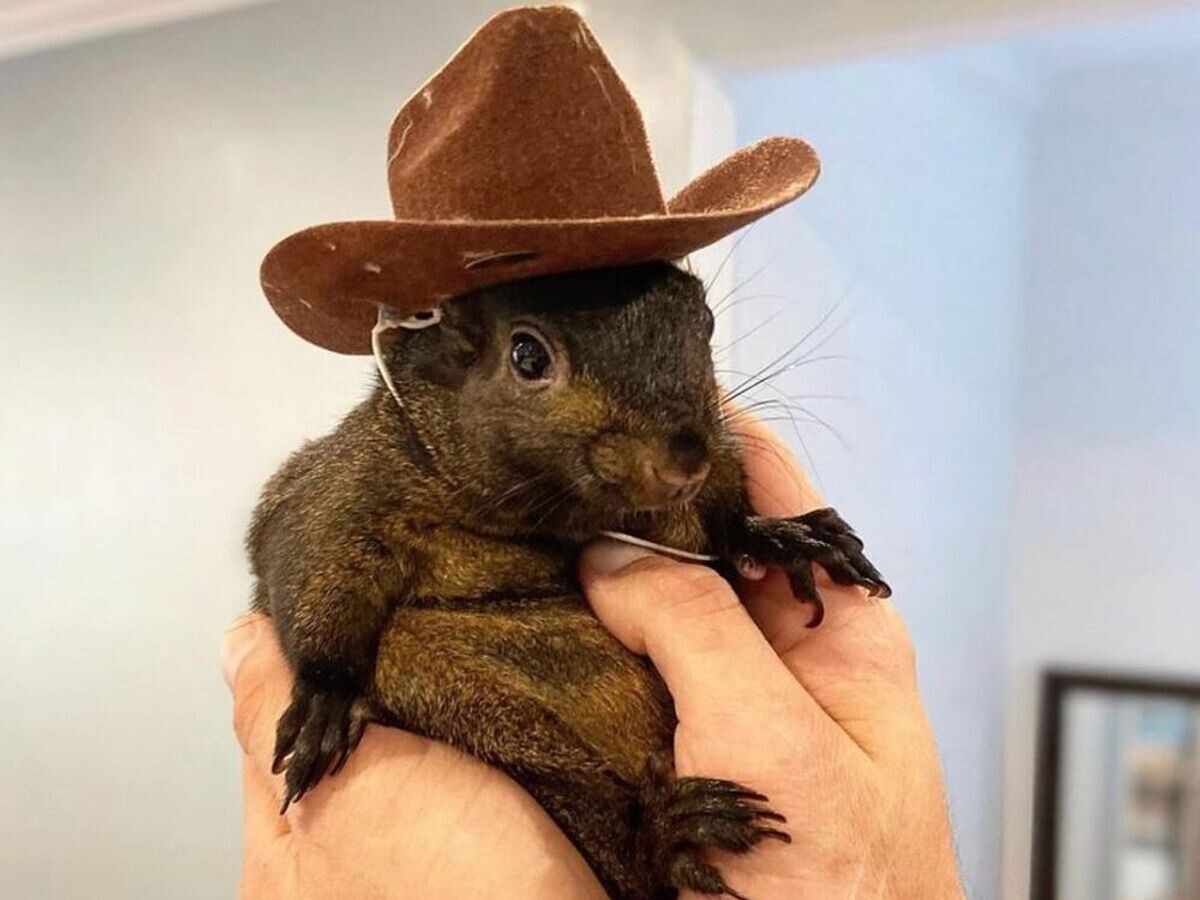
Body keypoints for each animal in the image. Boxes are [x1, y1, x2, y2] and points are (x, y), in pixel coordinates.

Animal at [247, 260, 890, 899]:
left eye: (704, 321)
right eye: (527, 355)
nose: (684, 461)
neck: (551, 518)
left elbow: (724, 523)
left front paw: (782, 536)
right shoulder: (344, 487)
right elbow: (312, 564)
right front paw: (325, 699)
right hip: (482, 717)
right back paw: (666, 836)